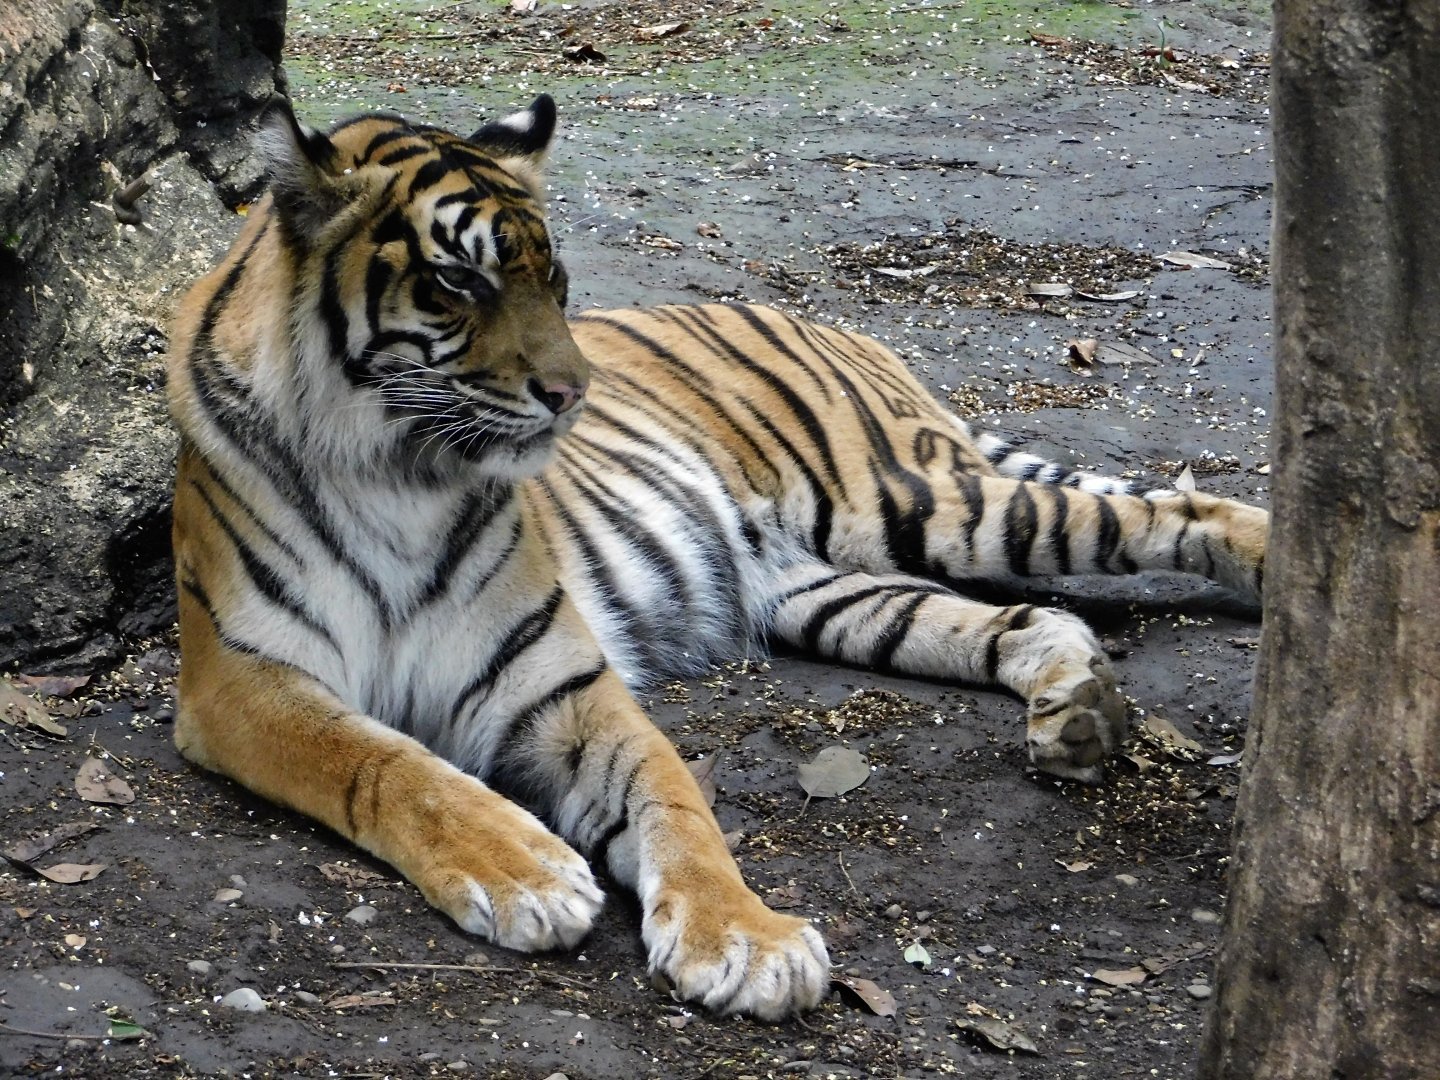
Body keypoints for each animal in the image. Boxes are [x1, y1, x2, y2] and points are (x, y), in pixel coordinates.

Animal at [166, 94, 1267, 1021]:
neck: (401, 469)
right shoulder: (243, 681)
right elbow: (384, 763)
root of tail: (814, 317)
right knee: (1029, 615)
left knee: (1172, 505)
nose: (573, 393)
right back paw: (1076, 709)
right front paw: (527, 869)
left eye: (555, 280)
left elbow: (675, 802)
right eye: (457, 281)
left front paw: (746, 940)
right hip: (831, 590)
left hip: (918, 499)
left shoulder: (559, 680)